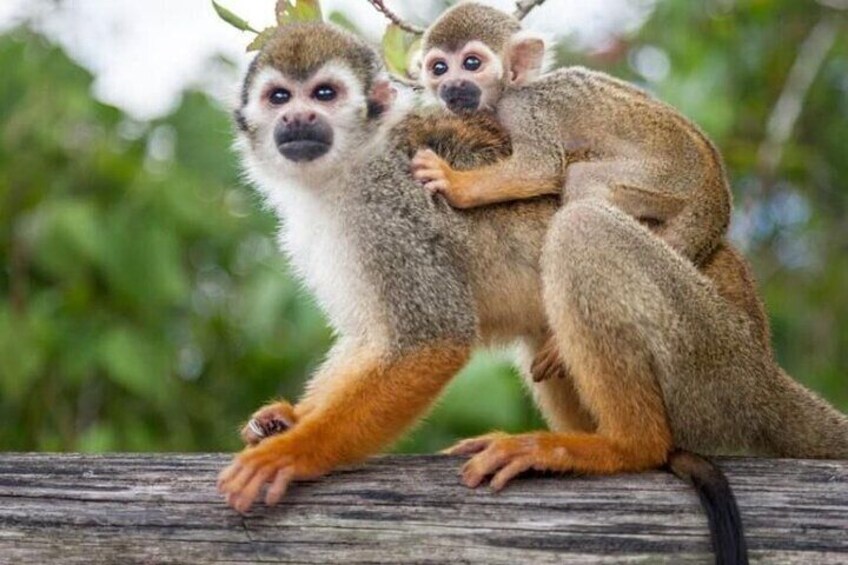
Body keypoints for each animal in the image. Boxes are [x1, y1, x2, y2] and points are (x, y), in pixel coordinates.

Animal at [219, 22, 848, 545]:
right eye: (280, 97)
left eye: (324, 95)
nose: (298, 121)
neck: (343, 171)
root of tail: (764, 371)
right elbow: (371, 338)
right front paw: (288, 420)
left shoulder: (389, 211)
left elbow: (431, 338)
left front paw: (295, 453)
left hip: (710, 365)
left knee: (582, 229)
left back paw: (623, 446)